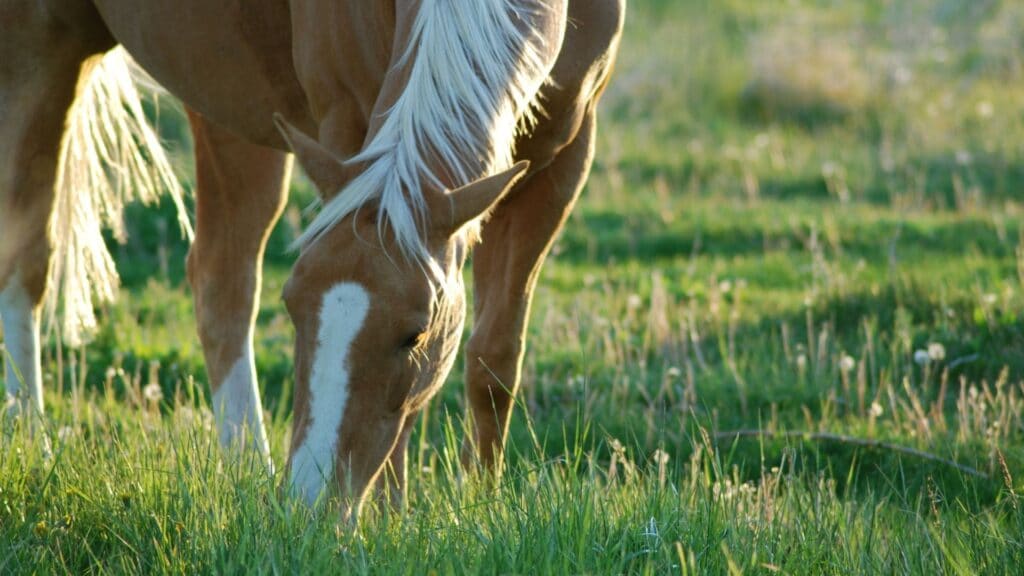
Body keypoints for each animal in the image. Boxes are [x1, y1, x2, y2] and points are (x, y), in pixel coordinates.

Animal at [0, 0, 622, 516]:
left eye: (415, 335)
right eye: (294, 310)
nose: (307, 502)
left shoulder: (567, 155)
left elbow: (494, 358)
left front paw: (481, 505)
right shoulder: (348, 121)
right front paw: (390, 522)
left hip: (224, 100)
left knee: (221, 280)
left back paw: (246, 467)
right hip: (40, 50)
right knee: (28, 258)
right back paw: (31, 437)